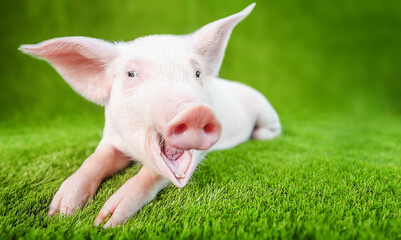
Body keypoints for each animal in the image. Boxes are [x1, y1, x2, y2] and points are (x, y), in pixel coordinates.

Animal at [18, 2, 280, 228]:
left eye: (197, 73)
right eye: (131, 74)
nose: (195, 111)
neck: (135, 152)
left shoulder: (200, 154)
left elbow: (154, 173)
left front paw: (105, 222)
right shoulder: (110, 137)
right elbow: (94, 161)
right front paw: (60, 213)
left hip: (267, 112)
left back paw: (259, 137)